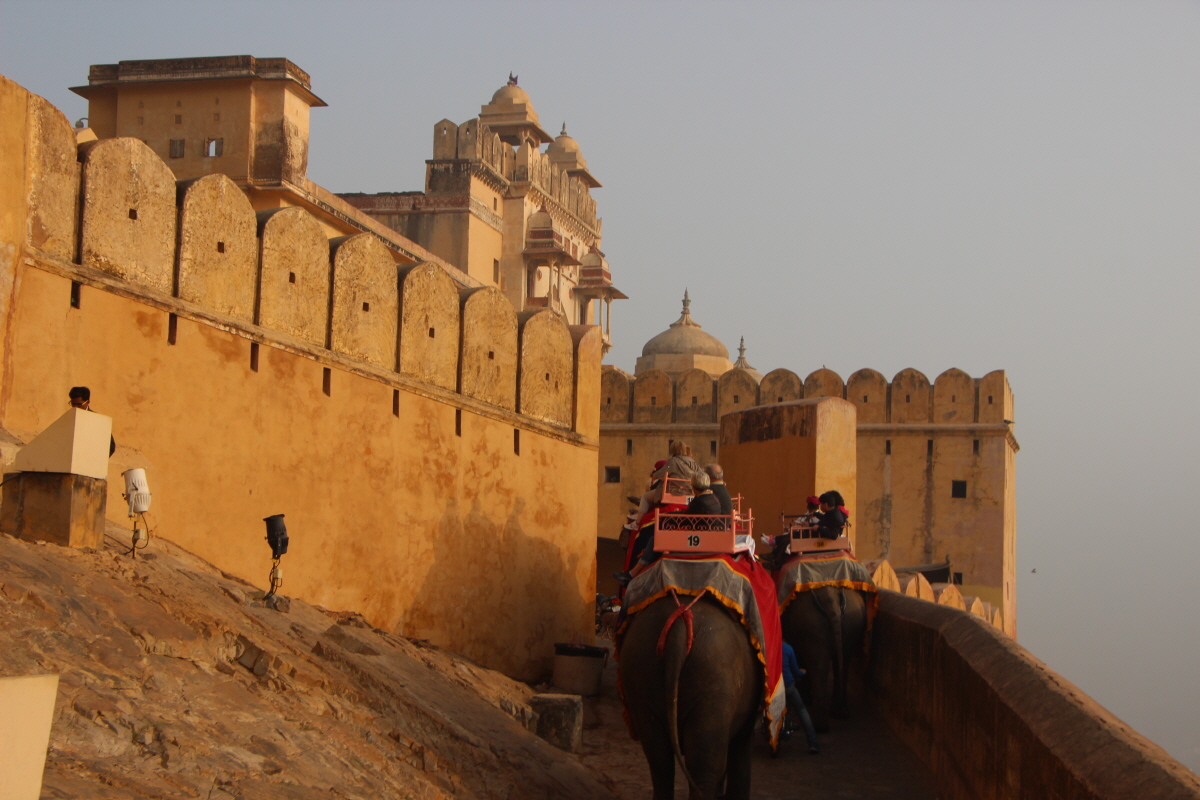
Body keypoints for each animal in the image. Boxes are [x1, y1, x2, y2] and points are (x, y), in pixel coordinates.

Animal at [782, 582, 868, 734]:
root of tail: (830, 599)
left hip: (811, 624)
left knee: (819, 666)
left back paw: (820, 725)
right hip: (850, 620)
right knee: (842, 660)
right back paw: (839, 714)